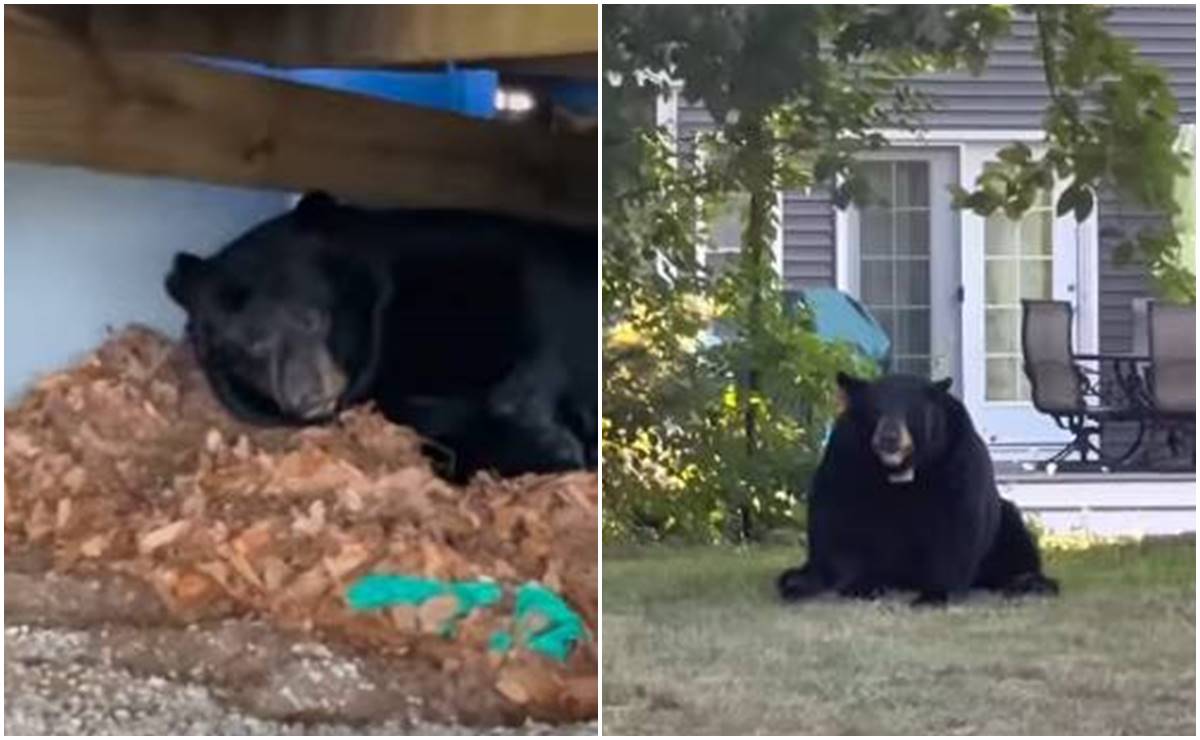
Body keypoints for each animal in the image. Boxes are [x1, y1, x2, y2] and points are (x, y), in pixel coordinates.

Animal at [772, 369, 1056, 606]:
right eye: (875, 410)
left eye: (910, 411)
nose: (889, 438)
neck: (898, 471)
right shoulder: (847, 460)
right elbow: (839, 521)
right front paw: (860, 586)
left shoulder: (955, 460)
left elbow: (956, 525)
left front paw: (935, 594)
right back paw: (798, 583)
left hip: (1004, 525)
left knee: (1016, 536)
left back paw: (1027, 582)